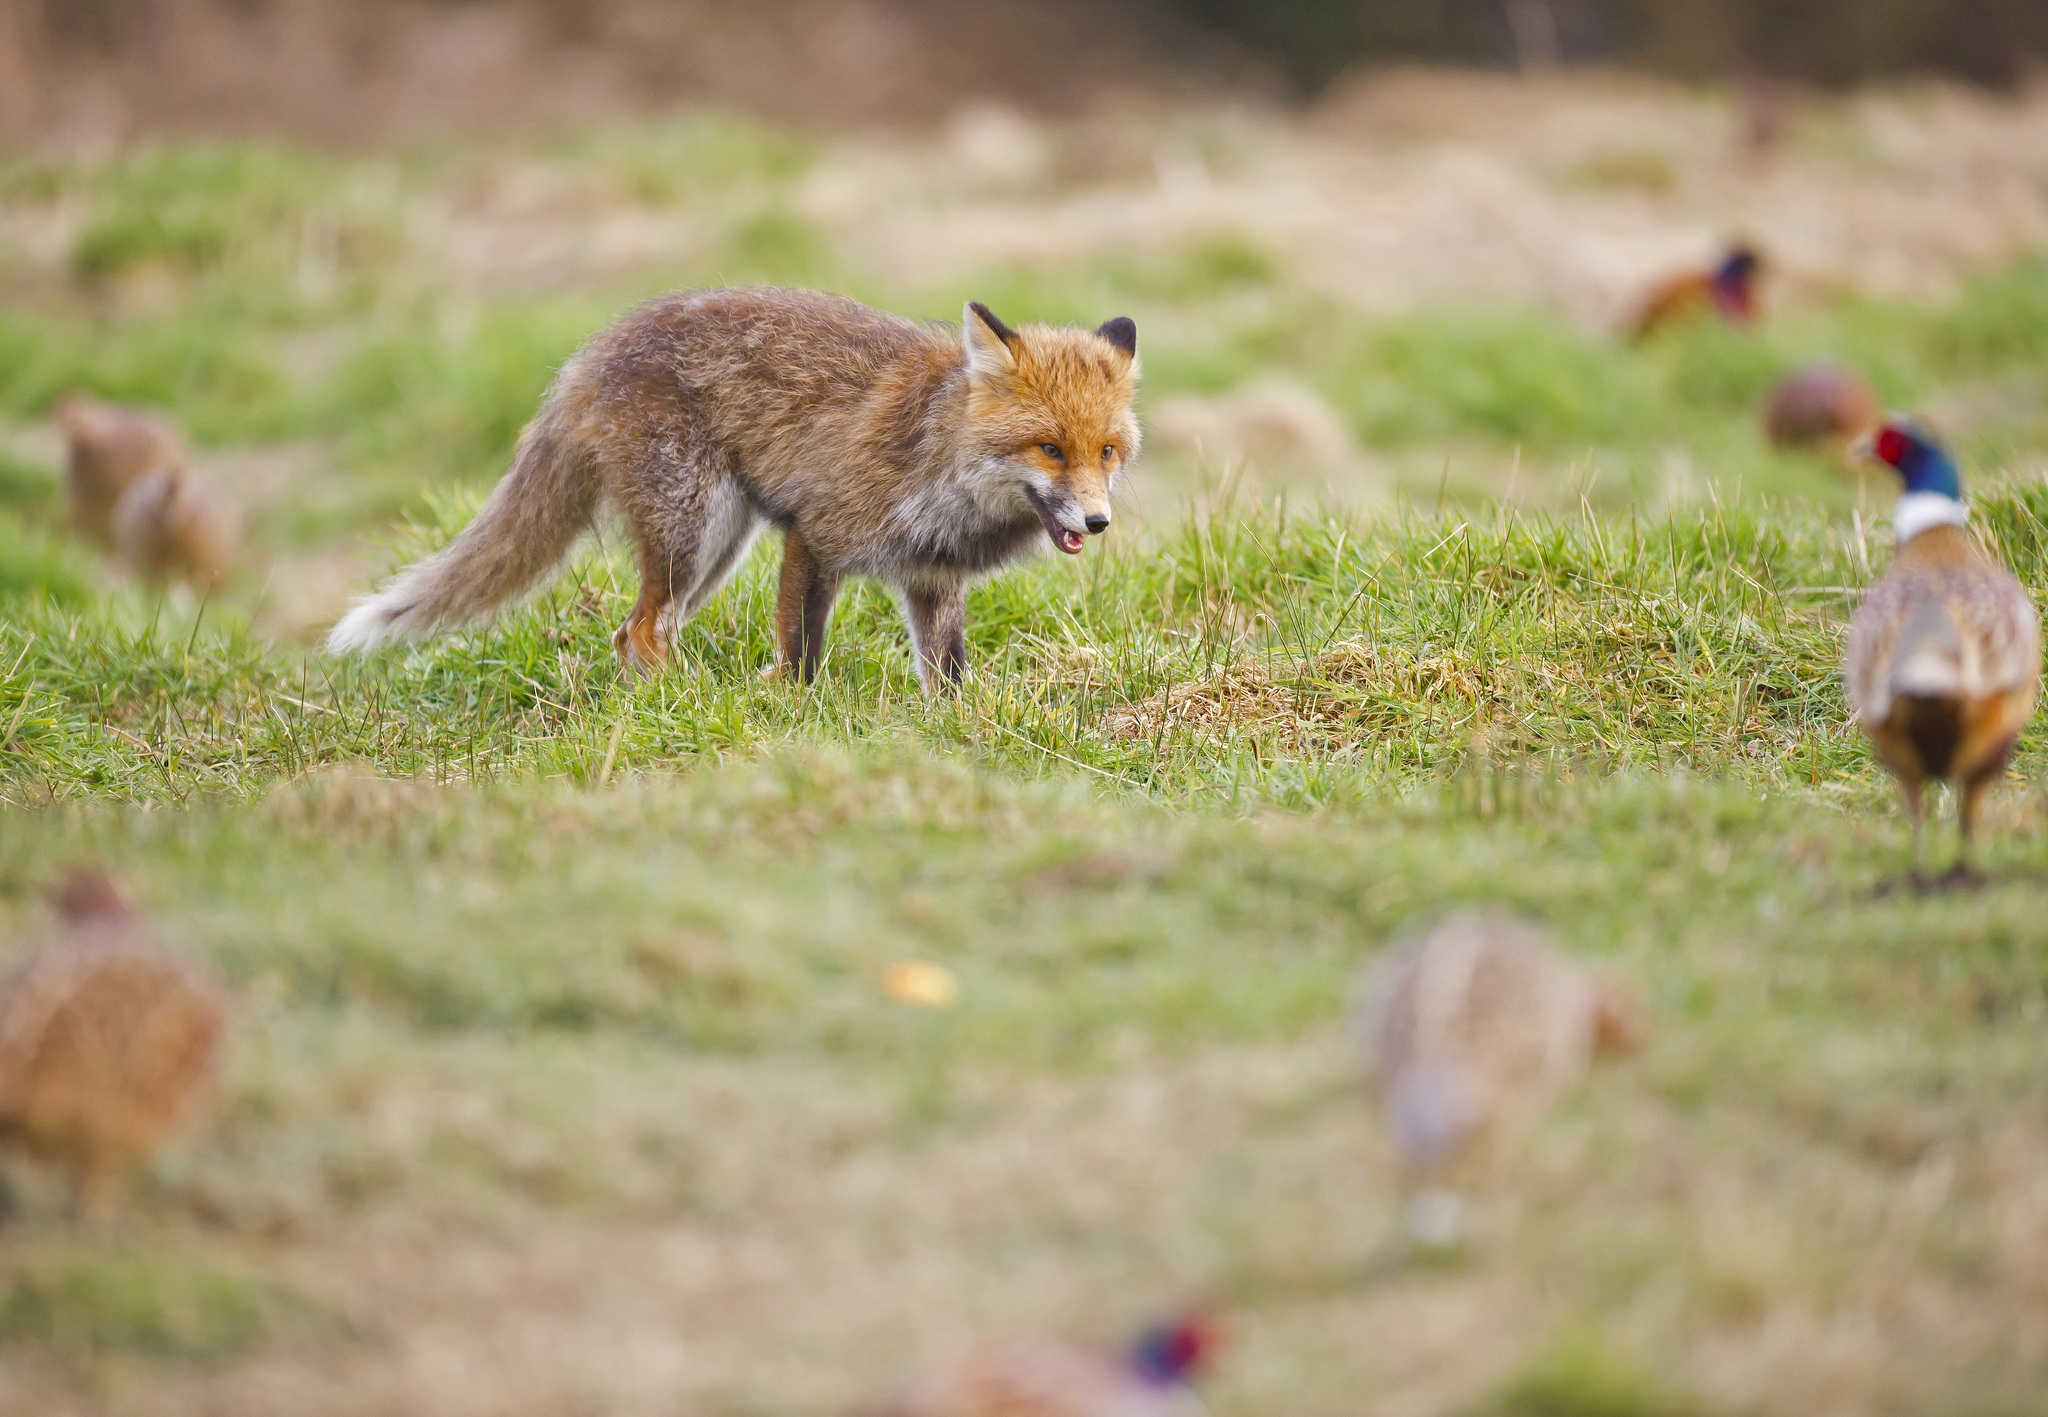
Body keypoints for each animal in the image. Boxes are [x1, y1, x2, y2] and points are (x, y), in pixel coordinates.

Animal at [326, 288, 1141, 691]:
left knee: (632, 633)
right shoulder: (814, 535)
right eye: (1049, 448)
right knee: (642, 630)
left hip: (717, 550)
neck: (938, 465)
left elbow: (947, 676)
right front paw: (794, 713)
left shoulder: (932, 578)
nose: (1099, 522)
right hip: (694, 530)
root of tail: (587, 357)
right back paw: (703, 701)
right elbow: (801, 655)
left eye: (1106, 452)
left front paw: (954, 731)